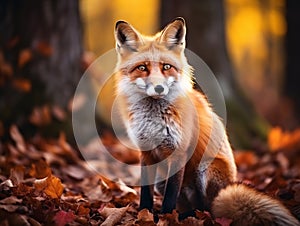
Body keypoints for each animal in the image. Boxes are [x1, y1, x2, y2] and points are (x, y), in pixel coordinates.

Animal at [113, 16, 300, 225]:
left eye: (166, 67)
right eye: (142, 68)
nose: (159, 88)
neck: (154, 119)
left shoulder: (178, 152)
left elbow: (170, 196)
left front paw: (166, 217)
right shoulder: (145, 153)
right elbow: (146, 192)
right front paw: (143, 213)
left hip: (205, 170)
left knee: (208, 209)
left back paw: (190, 216)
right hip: (163, 178)